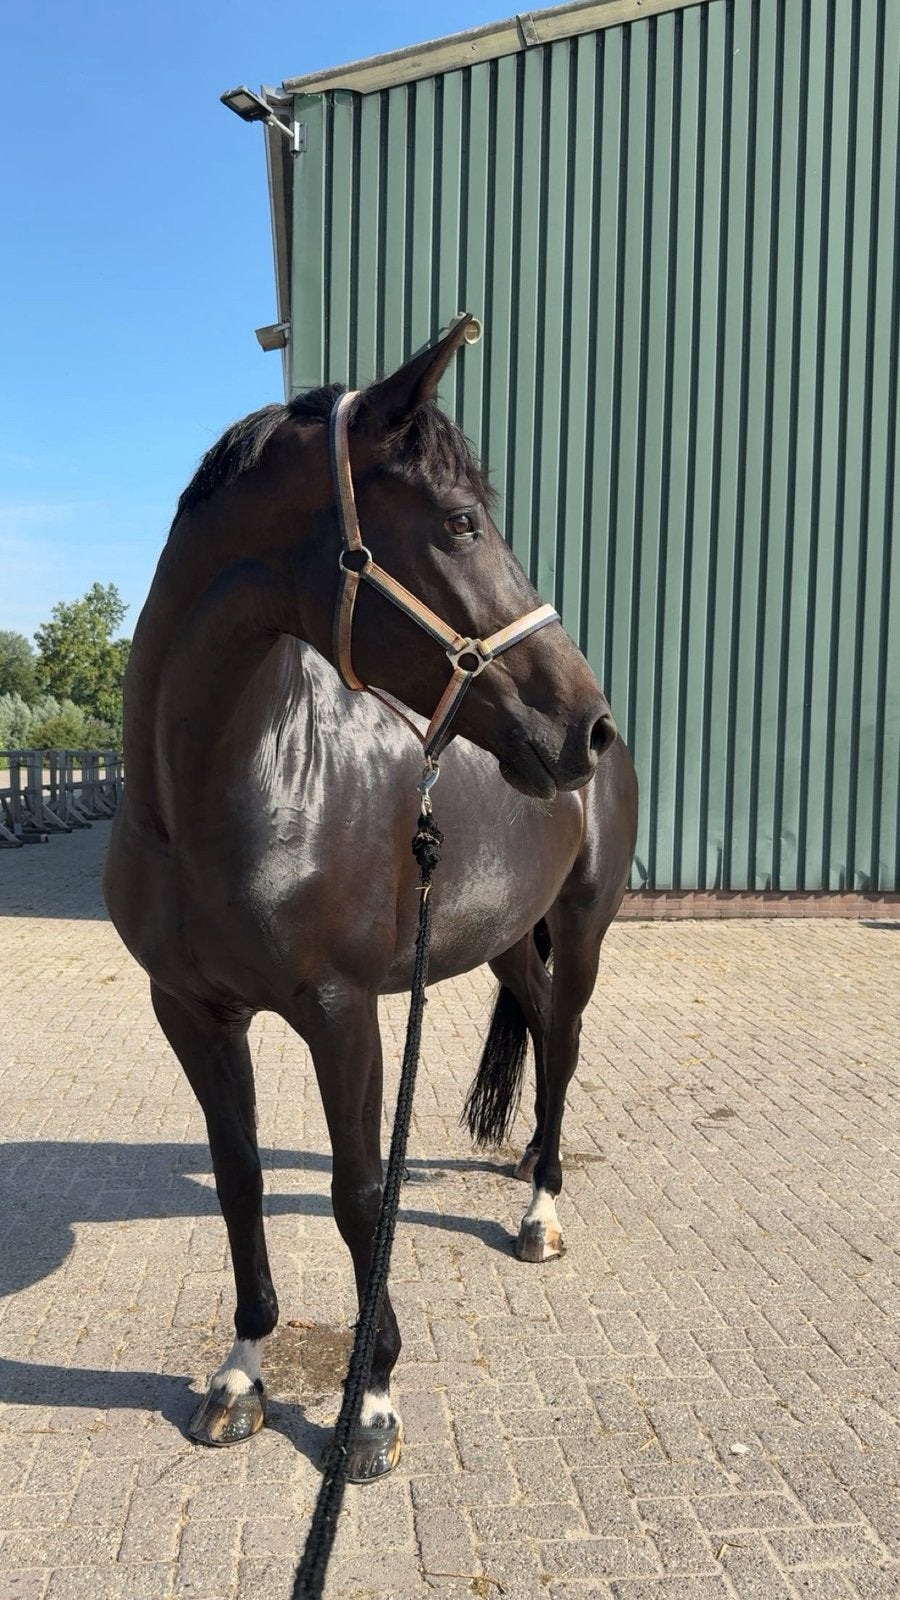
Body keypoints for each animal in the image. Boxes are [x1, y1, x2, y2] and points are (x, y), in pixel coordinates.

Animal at [103, 315, 638, 1481]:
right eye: (461, 521)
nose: (587, 725)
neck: (225, 793)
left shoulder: (344, 1012)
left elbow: (358, 1197)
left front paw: (375, 1402)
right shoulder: (190, 1012)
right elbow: (242, 1177)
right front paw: (240, 1375)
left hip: (581, 929)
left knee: (568, 1042)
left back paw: (542, 1208)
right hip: (501, 935)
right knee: (539, 1026)